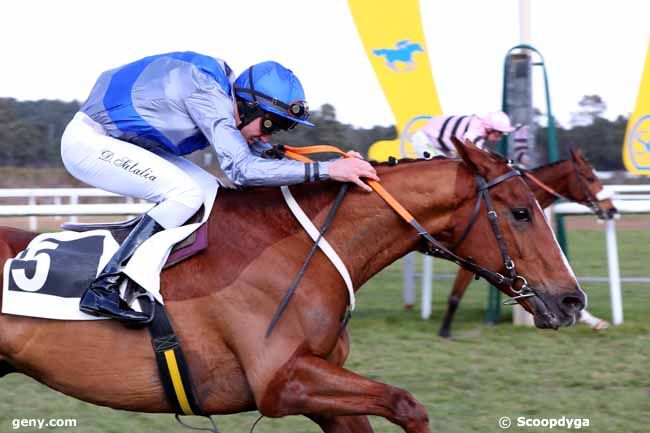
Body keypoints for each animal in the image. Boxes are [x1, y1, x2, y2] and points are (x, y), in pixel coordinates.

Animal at [0, 140, 584, 432]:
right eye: (521, 210)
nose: (571, 300)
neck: (303, 247)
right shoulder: (281, 383)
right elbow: (406, 403)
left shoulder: (322, 391)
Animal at [438, 148, 616, 338]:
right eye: (590, 178)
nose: (611, 209)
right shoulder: (474, 257)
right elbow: (455, 296)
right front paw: (445, 331)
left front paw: (592, 320)